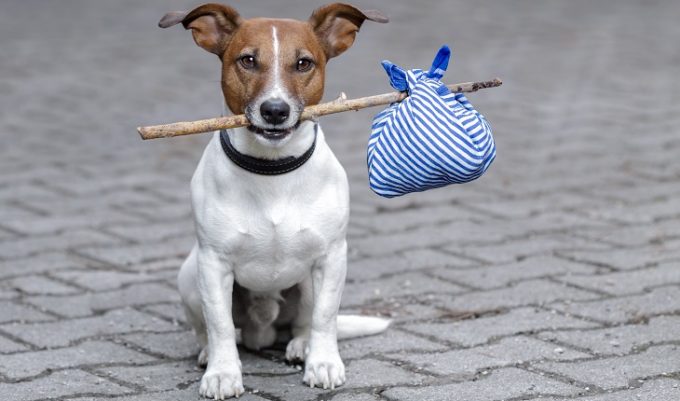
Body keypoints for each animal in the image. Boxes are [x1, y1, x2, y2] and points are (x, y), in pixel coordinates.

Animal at [158, 2, 388, 396]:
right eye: (248, 60)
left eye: (304, 63)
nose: (275, 110)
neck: (272, 170)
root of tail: (261, 332)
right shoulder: (213, 263)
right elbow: (219, 325)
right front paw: (223, 373)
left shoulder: (331, 258)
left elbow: (325, 316)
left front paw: (323, 362)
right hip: (189, 276)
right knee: (209, 329)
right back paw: (208, 353)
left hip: (306, 281)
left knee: (303, 323)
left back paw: (300, 346)